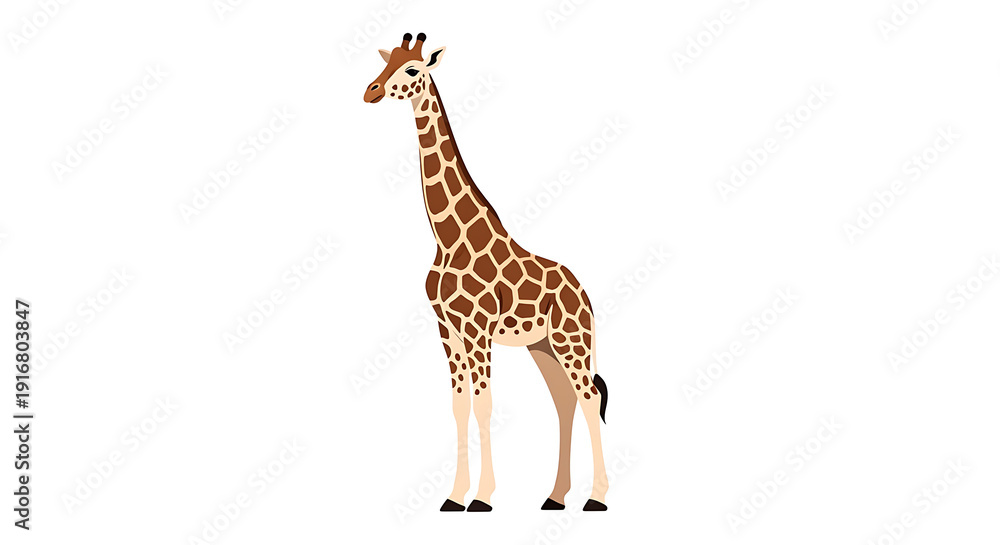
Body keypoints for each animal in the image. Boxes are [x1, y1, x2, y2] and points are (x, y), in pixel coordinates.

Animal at [364, 33, 609, 512]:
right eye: (387, 63)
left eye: (412, 69)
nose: (371, 91)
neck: (445, 239)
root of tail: (584, 293)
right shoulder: (447, 328)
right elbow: (459, 405)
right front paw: (454, 496)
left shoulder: (477, 329)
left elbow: (484, 404)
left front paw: (482, 498)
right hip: (542, 346)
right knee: (564, 401)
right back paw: (555, 496)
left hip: (571, 340)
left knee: (589, 397)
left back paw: (597, 498)